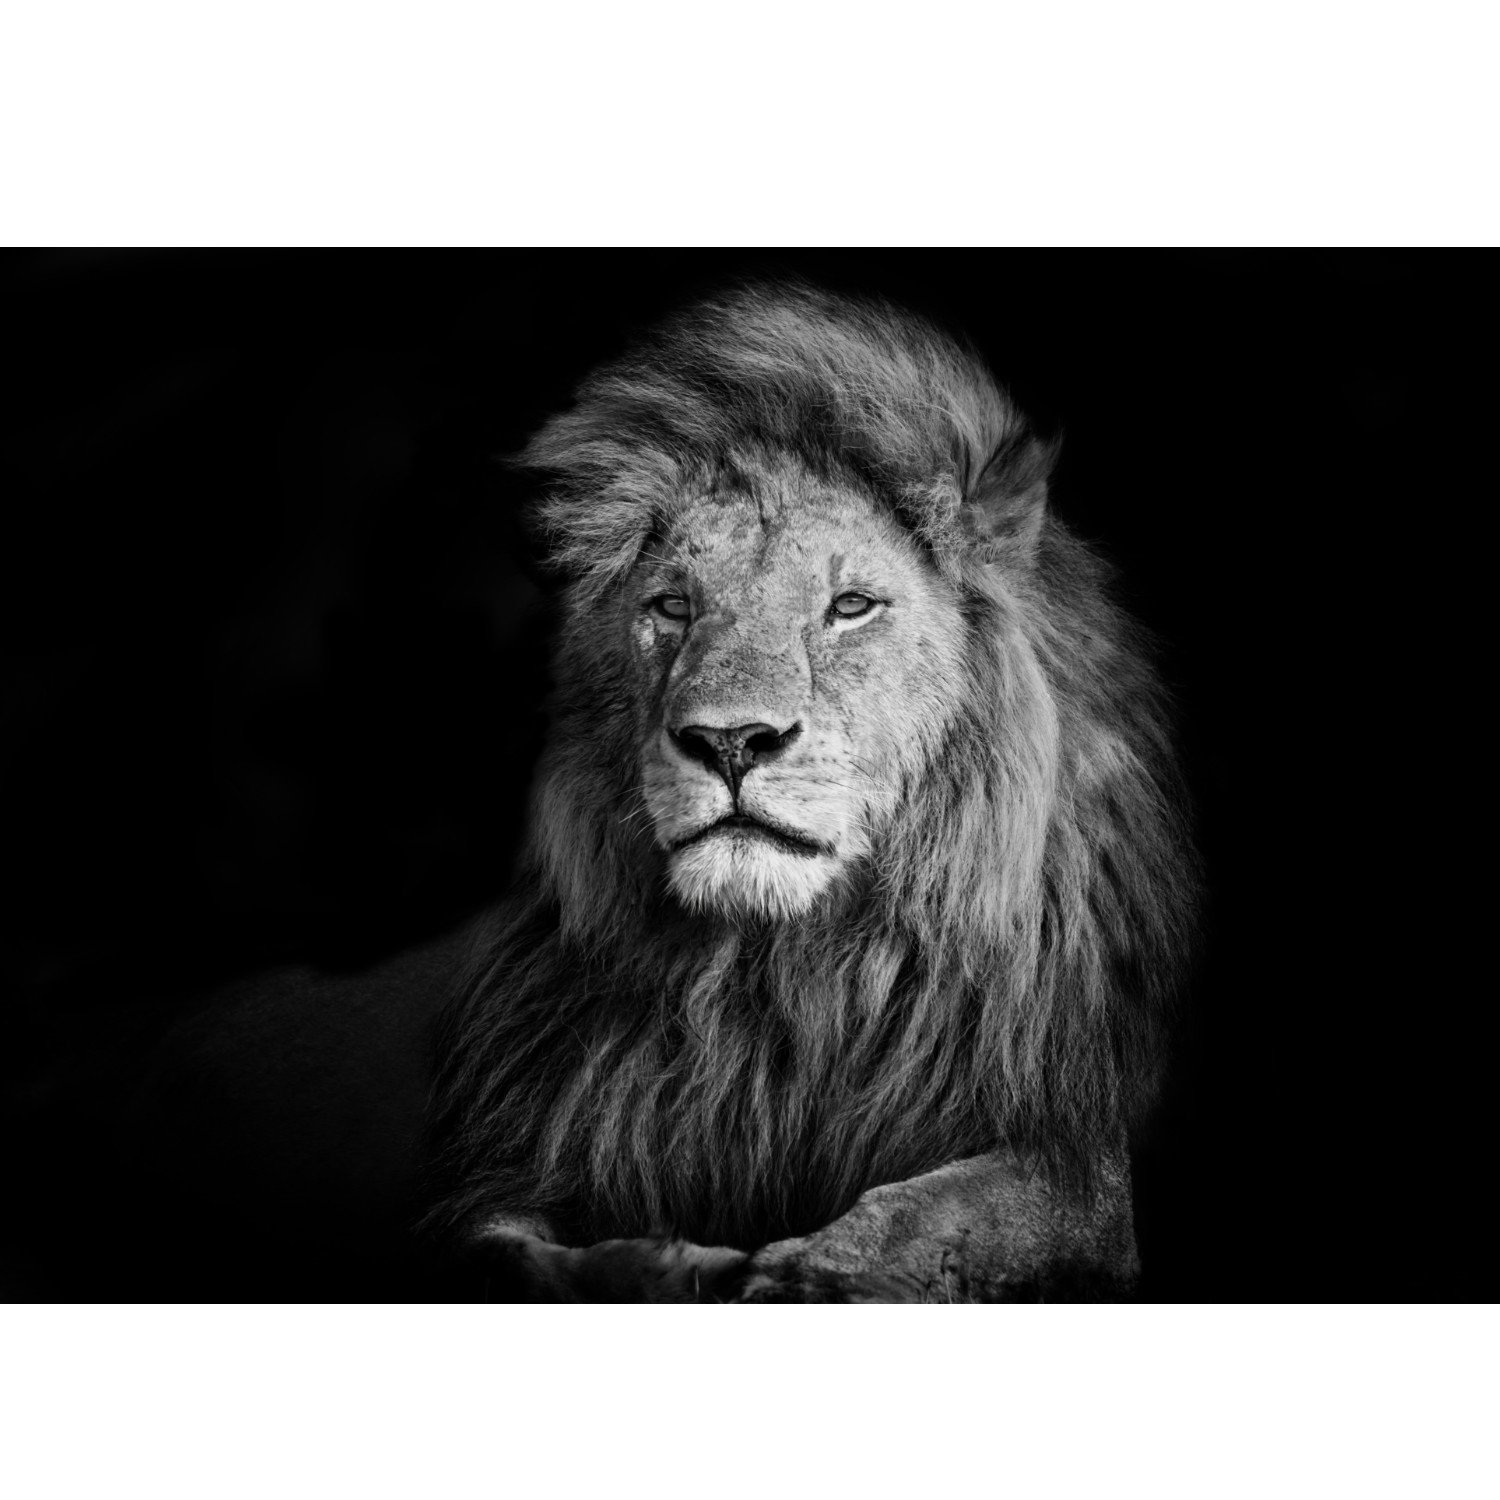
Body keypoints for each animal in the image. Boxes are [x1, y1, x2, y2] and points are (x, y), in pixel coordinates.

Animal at [412, 281, 1201, 1301]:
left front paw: (808, 1274)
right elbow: (507, 1256)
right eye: (673, 606)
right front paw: (665, 1267)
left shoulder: (1080, 1164)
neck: (780, 980)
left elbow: (940, 1207)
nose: (729, 741)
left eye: (850, 607)